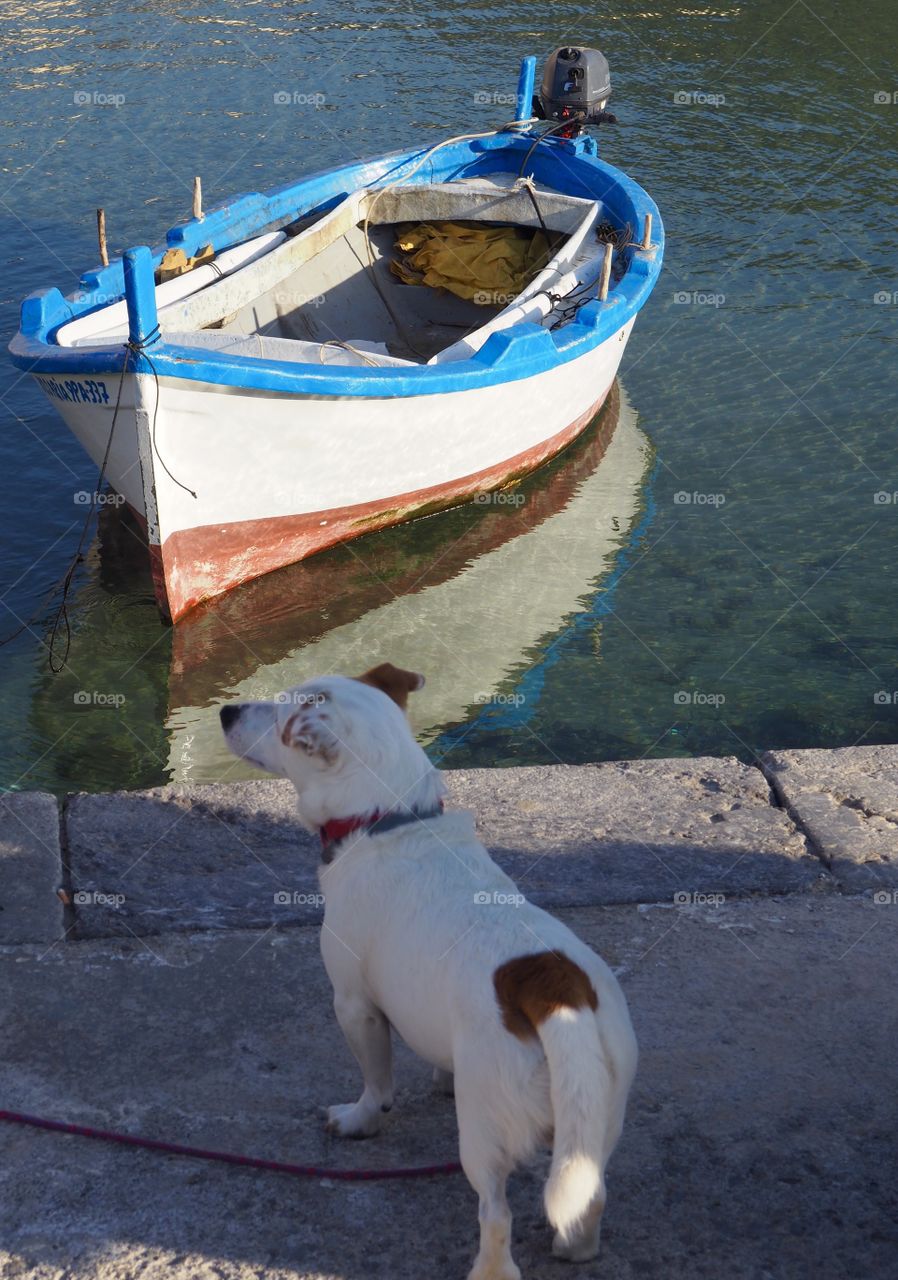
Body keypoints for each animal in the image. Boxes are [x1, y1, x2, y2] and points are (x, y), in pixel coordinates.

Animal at [221, 665, 637, 1274]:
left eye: (277, 719)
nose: (225, 711)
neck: (389, 819)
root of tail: (555, 988)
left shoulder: (354, 1005)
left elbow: (376, 1081)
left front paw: (361, 1119)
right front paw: (441, 1079)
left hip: (484, 1130)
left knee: (496, 1213)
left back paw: (489, 1269)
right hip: (595, 1121)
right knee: (590, 1196)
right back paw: (573, 1247)